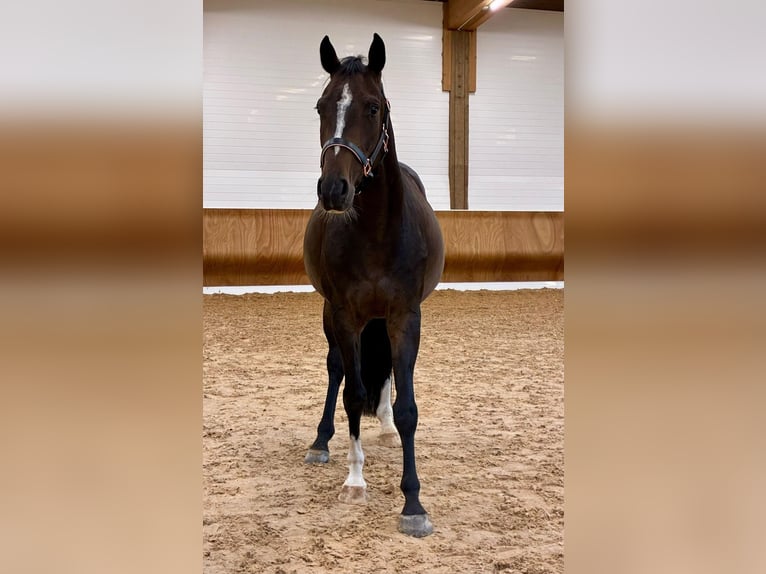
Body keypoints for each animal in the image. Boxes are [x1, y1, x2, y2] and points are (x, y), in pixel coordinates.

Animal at [302, 33, 445, 538]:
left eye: (373, 107)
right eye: (322, 106)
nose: (333, 190)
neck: (378, 233)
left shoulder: (405, 315)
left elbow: (407, 408)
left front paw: (414, 504)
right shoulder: (344, 315)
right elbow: (351, 392)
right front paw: (355, 480)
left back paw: (382, 424)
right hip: (331, 316)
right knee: (337, 371)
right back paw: (321, 442)